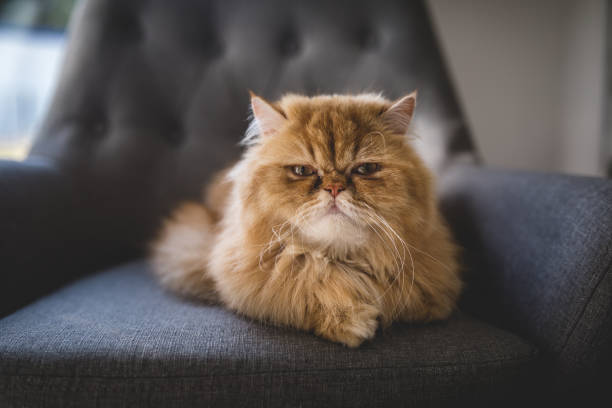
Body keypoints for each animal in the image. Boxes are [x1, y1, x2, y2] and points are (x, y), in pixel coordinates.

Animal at [152, 91, 460, 346]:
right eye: (302, 171)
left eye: (365, 169)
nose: (334, 188)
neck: (338, 259)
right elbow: (301, 297)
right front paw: (348, 322)